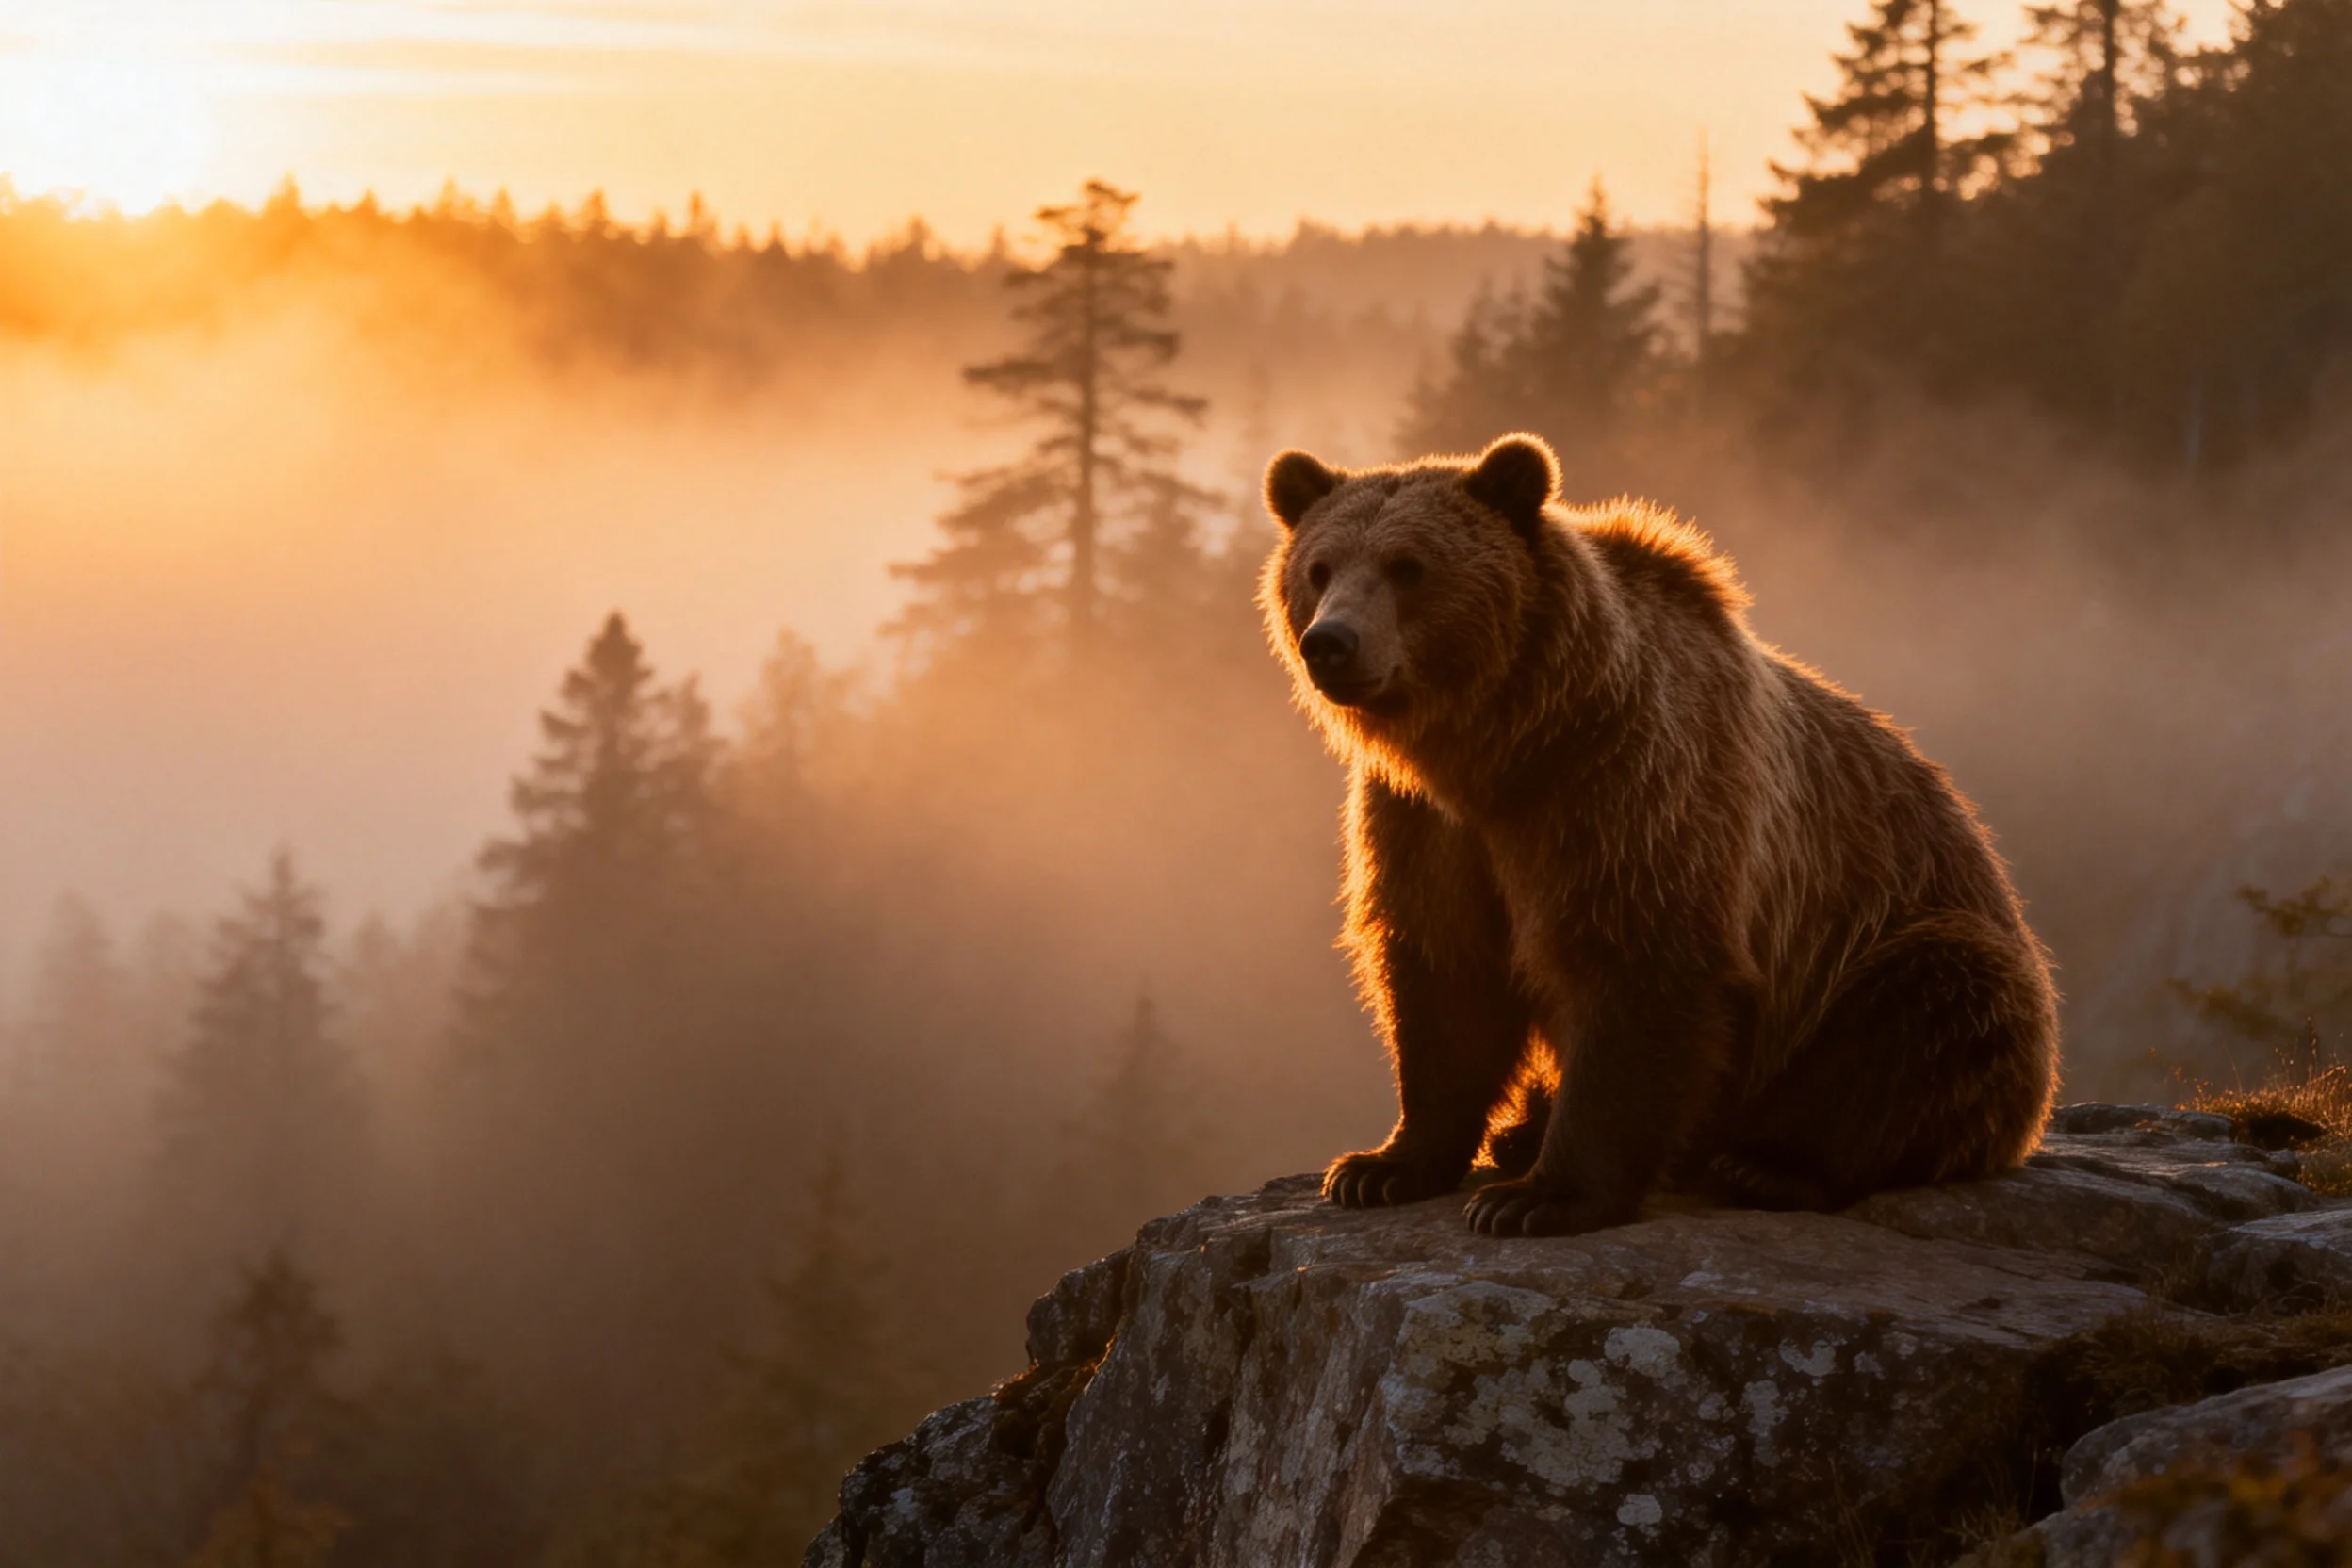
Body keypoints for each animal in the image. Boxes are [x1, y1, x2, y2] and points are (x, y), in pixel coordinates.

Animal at [1260, 433, 2058, 1237]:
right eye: (1319, 567)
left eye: (1409, 566)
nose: (1330, 642)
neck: (1500, 747)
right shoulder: (1426, 824)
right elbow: (1443, 975)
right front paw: (1379, 1168)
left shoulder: (1628, 792)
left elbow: (1637, 967)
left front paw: (1538, 1198)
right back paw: (1522, 1134)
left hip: (1891, 941)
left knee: (1930, 1009)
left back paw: (1769, 1166)